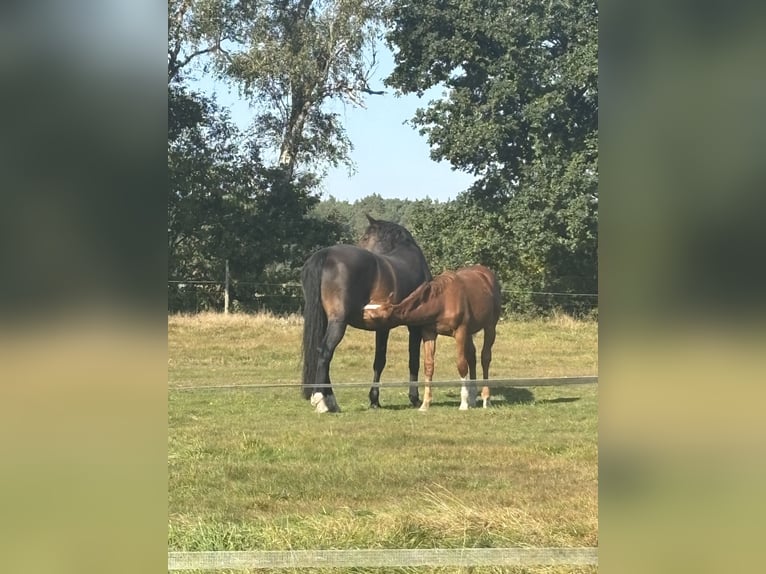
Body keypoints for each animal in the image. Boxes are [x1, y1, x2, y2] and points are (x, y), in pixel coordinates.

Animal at [301, 215, 432, 413]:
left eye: (365, 237)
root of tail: (326, 255)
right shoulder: (414, 327)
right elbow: (413, 361)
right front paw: (414, 398)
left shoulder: (382, 327)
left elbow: (379, 361)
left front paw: (374, 400)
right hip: (338, 322)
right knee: (325, 352)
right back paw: (321, 400)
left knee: (319, 351)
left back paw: (331, 401)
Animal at [363, 264, 502, 411]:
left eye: (373, 316)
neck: (442, 301)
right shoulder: (429, 333)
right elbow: (428, 366)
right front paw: (425, 404)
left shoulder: (460, 332)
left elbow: (461, 365)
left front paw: (463, 404)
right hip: (469, 333)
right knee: (472, 357)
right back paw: (473, 398)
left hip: (490, 327)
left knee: (485, 358)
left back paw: (486, 399)